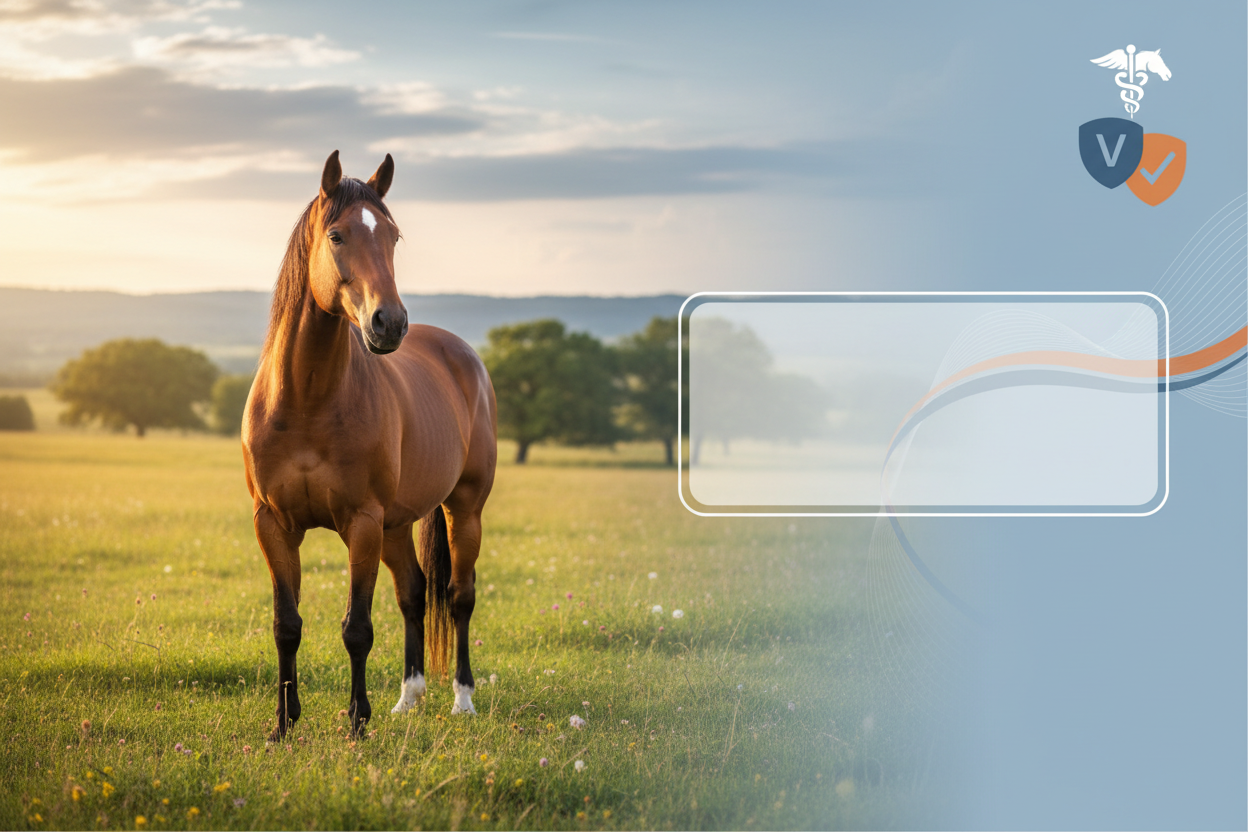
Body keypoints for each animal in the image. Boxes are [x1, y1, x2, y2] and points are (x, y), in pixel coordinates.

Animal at [242, 150, 497, 739]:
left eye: (394, 237)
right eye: (336, 235)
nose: (390, 322)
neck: (307, 400)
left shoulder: (360, 522)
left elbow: (357, 628)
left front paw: (357, 722)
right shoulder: (273, 523)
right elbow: (286, 625)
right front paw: (282, 726)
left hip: (463, 510)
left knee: (459, 597)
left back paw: (462, 700)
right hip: (396, 525)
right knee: (413, 595)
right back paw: (409, 697)